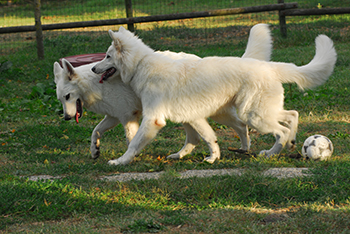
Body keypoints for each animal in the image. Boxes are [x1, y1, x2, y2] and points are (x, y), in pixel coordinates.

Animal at [53, 23, 272, 159]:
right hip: (197, 113)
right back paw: (242, 148)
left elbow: (131, 140)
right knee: (236, 126)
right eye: (61, 100)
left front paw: (129, 157)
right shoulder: (114, 116)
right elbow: (95, 131)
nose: (66, 118)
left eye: (67, 96)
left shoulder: (129, 117)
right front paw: (94, 151)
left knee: (237, 125)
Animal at [92, 25, 336, 166]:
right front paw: (210, 157)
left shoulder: (153, 119)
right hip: (251, 112)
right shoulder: (192, 117)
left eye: (107, 56)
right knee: (290, 115)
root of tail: (270, 67)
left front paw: (120, 161)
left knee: (281, 130)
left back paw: (271, 153)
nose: (93, 69)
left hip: (254, 115)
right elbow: (204, 138)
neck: (141, 64)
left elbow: (134, 144)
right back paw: (289, 143)